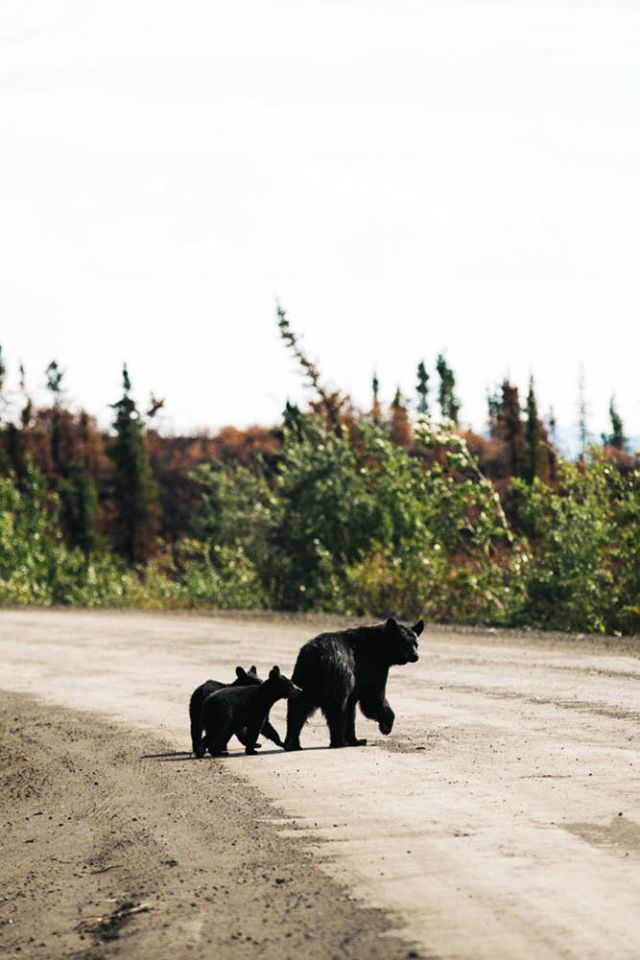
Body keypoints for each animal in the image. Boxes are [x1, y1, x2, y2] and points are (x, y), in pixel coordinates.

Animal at [284, 617, 423, 750]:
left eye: (416, 644)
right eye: (405, 643)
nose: (415, 656)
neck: (380, 649)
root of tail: (318, 657)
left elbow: (352, 710)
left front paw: (356, 740)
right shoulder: (371, 667)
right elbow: (372, 698)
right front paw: (386, 725)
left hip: (304, 677)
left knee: (297, 707)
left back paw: (292, 743)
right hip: (339, 676)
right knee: (337, 708)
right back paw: (339, 742)